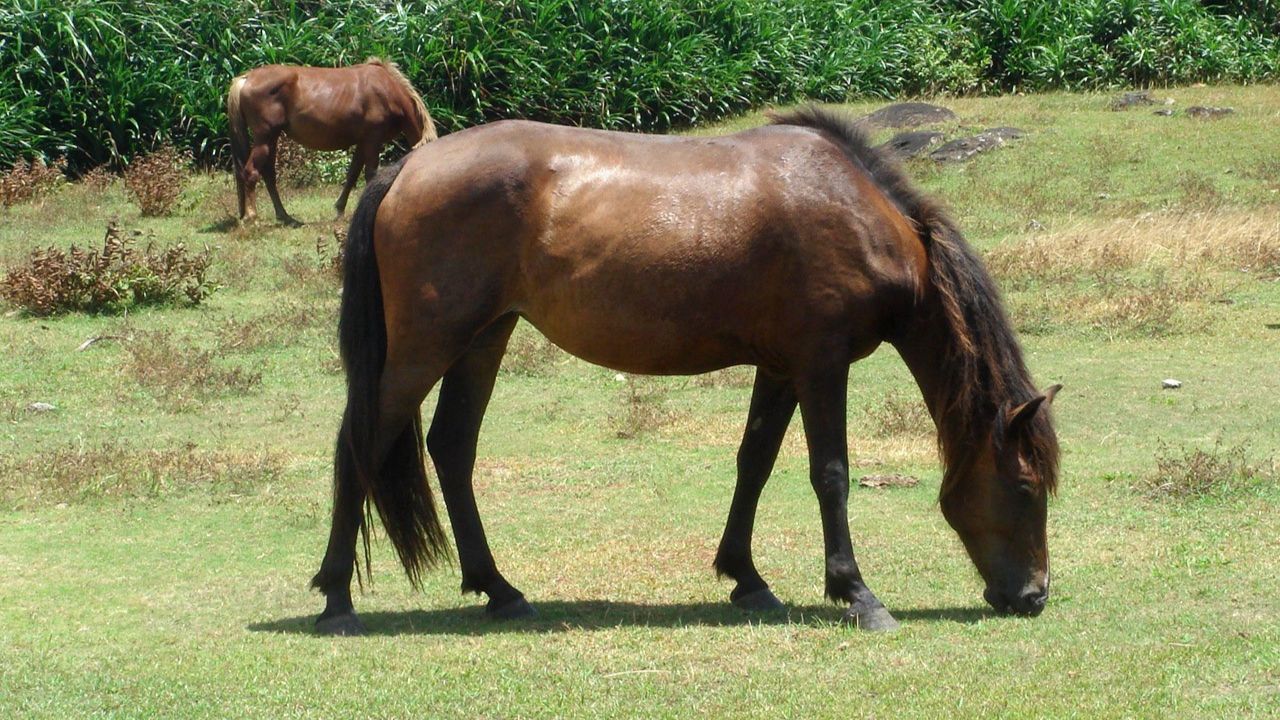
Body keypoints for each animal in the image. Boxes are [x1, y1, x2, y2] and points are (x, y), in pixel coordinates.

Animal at [225, 58, 437, 226]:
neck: (386, 90)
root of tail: (247, 79)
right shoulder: (372, 140)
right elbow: (370, 174)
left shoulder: (362, 142)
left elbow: (352, 175)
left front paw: (339, 210)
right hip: (265, 137)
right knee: (251, 172)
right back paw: (252, 217)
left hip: (272, 138)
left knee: (268, 174)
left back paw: (285, 217)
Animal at [308, 106, 1063, 636]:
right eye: (1026, 488)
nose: (1033, 596)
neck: (855, 213)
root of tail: (405, 170)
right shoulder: (821, 365)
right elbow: (831, 476)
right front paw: (857, 593)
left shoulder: (781, 368)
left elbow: (754, 462)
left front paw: (746, 578)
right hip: (424, 348)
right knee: (360, 444)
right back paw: (337, 598)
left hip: (483, 339)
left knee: (451, 448)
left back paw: (500, 590)